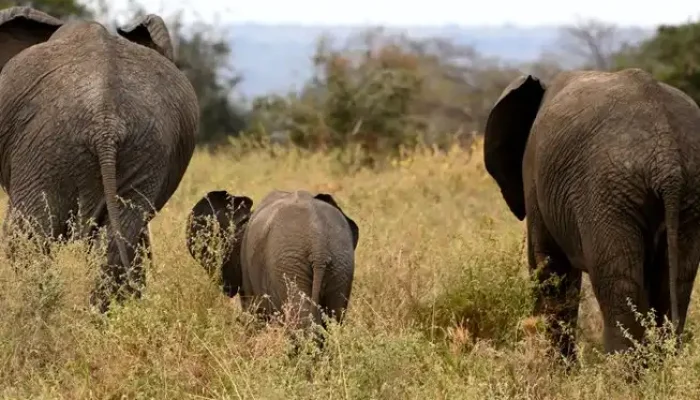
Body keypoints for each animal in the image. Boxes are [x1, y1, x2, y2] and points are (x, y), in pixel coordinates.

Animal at [484, 68, 700, 360]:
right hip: (684, 193)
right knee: (674, 281)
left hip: (606, 192)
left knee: (617, 284)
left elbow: (550, 268)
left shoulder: (534, 176)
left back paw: (617, 369)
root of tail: (667, 158)